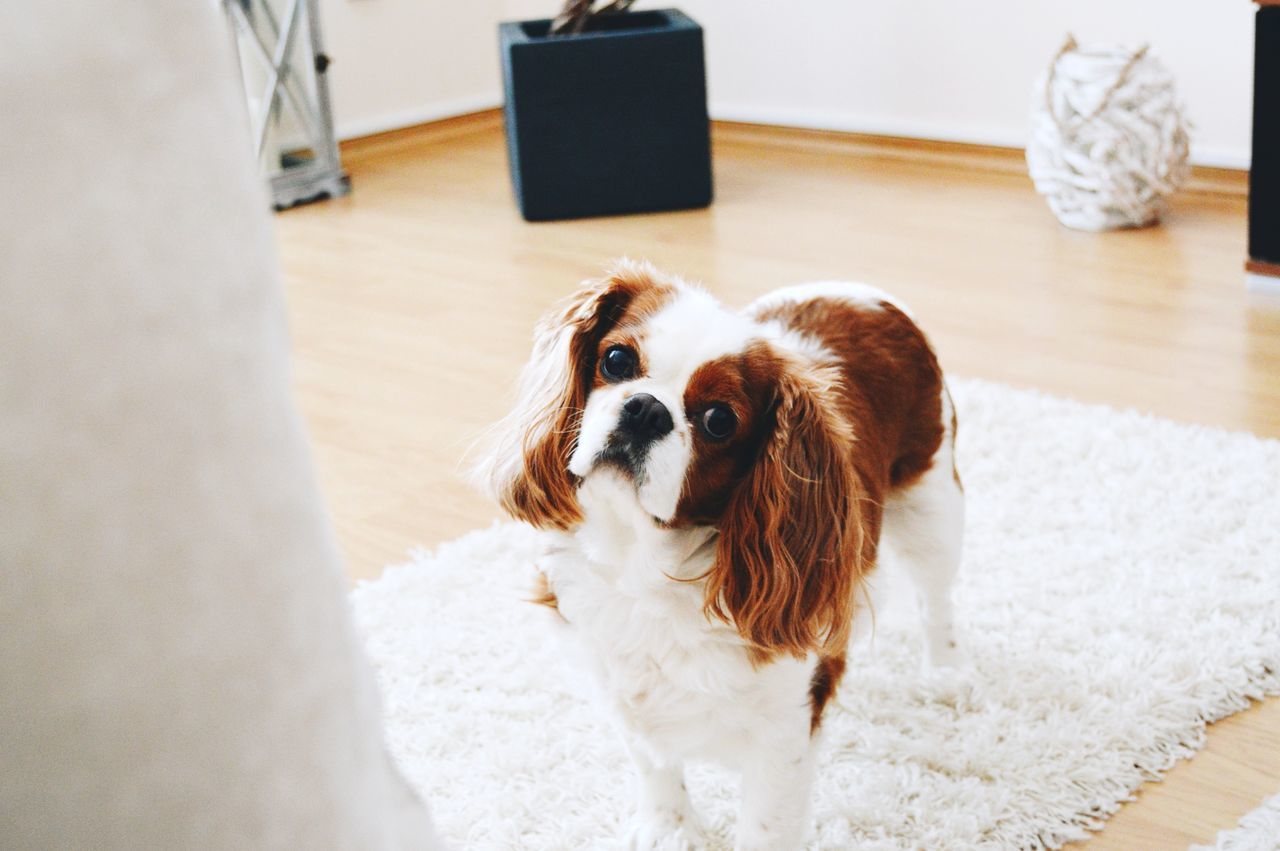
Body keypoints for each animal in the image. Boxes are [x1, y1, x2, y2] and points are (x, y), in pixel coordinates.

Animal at [476, 261, 962, 849]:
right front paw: (668, 829)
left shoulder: (785, 732)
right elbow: (655, 766)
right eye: (616, 361)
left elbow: (765, 827)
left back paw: (943, 674)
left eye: (718, 421)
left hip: (932, 507)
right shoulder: (620, 688)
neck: (643, 565)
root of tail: (864, 293)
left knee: (936, 598)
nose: (645, 409)